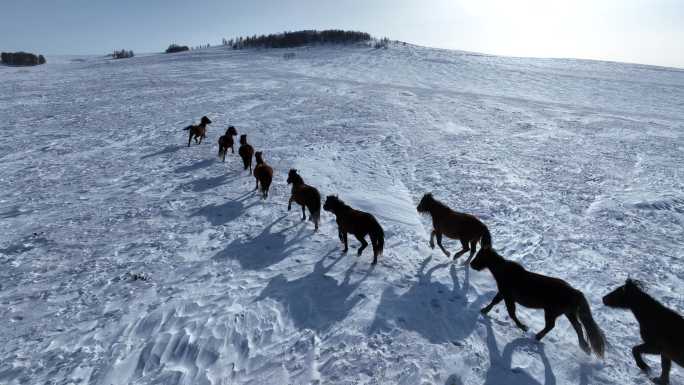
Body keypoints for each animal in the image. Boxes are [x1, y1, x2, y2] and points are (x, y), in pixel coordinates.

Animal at [470, 246, 604, 356]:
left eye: (479, 256)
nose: (471, 264)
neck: (504, 272)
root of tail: (574, 292)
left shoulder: (507, 296)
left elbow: (511, 313)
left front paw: (523, 327)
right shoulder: (503, 294)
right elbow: (494, 302)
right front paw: (484, 310)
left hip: (551, 312)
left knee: (551, 326)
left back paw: (537, 336)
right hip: (568, 313)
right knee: (578, 327)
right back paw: (584, 347)